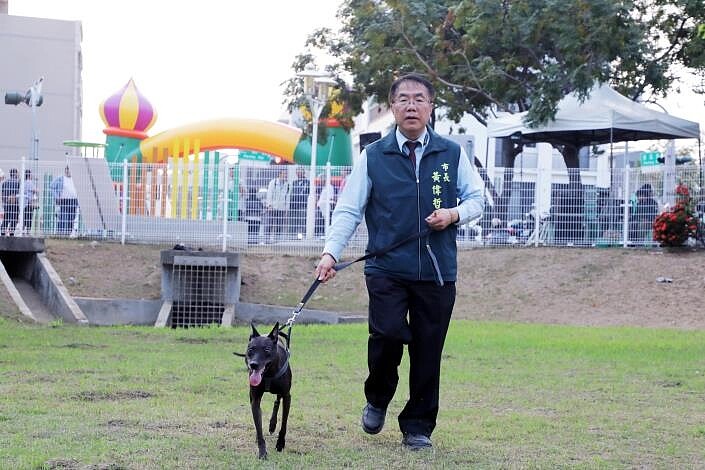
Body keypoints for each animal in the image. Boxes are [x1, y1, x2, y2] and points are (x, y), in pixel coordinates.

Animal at [235, 324, 290, 458]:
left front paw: (280, 443)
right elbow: (258, 426)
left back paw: (272, 424)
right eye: (251, 349)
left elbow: (284, 423)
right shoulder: (255, 400)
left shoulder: (287, 396)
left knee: (277, 401)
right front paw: (262, 451)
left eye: (266, 350)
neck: (268, 373)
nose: (253, 365)